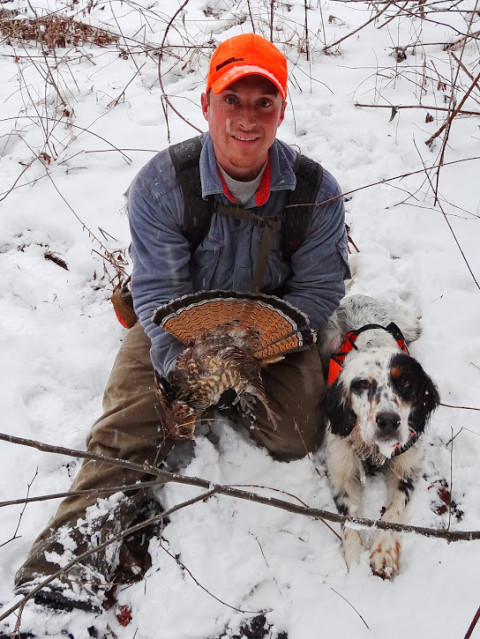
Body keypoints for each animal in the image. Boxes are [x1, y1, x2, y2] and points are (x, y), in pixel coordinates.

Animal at [318, 296, 438, 580]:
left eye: (405, 383)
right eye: (361, 384)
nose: (388, 422)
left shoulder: (408, 465)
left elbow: (395, 509)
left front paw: (383, 552)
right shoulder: (341, 469)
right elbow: (351, 518)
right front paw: (354, 563)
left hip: (411, 326)